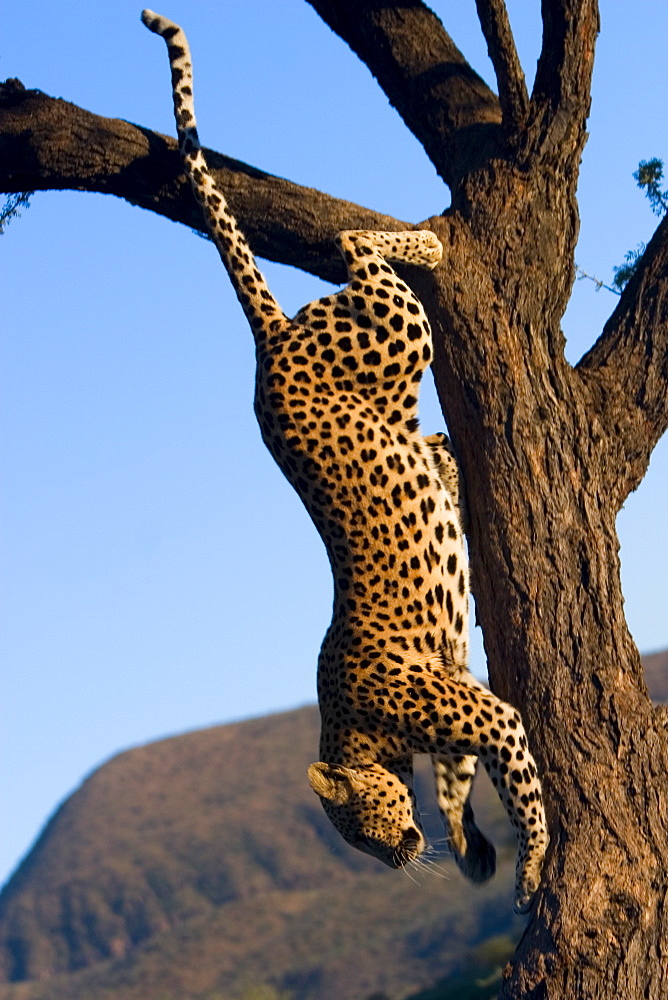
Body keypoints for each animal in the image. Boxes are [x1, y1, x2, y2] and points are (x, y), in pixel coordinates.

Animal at [142, 9, 548, 916]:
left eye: (359, 827)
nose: (395, 857)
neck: (355, 729)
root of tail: (269, 343)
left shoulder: (491, 717)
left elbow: (522, 786)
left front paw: (533, 869)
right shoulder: (461, 719)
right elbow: (459, 785)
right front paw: (475, 851)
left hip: (394, 332)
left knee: (356, 244)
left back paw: (425, 245)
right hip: (394, 393)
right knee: (423, 422)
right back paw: (445, 457)